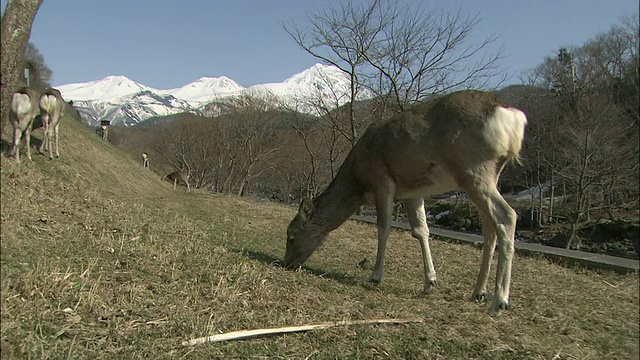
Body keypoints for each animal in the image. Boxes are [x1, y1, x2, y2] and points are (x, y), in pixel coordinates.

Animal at [282, 90, 528, 318]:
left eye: (291, 237)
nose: (285, 264)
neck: (358, 182)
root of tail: (510, 115)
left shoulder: (382, 181)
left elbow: (384, 228)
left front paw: (375, 276)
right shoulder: (413, 192)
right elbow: (421, 231)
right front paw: (430, 281)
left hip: (472, 167)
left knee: (507, 216)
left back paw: (499, 302)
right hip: (490, 173)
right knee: (489, 227)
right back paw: (478, 292)